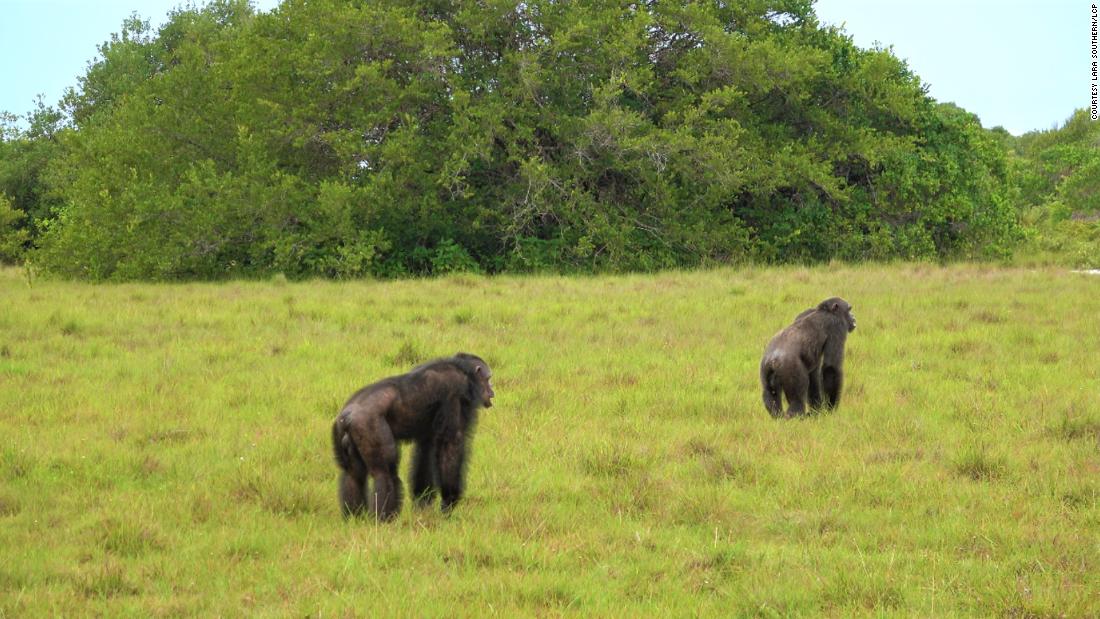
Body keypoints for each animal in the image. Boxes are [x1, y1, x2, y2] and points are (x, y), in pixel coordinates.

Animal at [330, 351, 495, 521]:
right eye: (488, 378)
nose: (492, 391)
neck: (464, 371)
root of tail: (347, 416)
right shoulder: (455, 392)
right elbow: (450, 445)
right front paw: (449, 502)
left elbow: (425, 452)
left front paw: (423, 501)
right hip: (369, 426)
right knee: (385, 473)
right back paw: (385, 520)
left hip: (342, 434)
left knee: (352, 475)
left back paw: (354, 518)